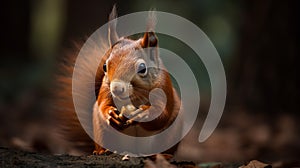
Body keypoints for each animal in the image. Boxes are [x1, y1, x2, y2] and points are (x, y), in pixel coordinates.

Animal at [55, 6, 182, 156]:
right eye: (105, 66)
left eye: (142, 68)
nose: (116, 89)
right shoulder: (105, 88)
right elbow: (103, 104)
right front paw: (111, 114)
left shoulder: (163, 86)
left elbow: (162, 114)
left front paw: (144, 113)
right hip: (101, 131)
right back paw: (102, 151)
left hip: (171, 133)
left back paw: (163, 154)